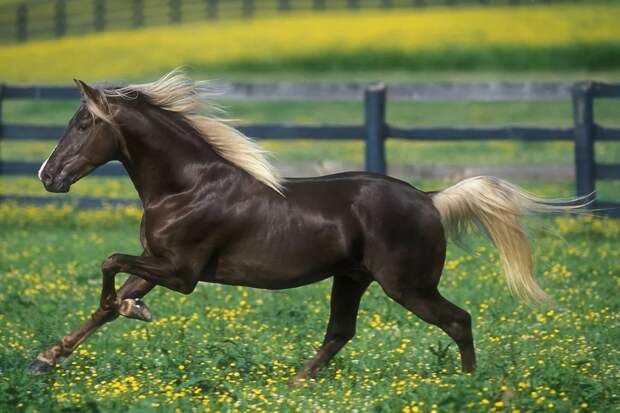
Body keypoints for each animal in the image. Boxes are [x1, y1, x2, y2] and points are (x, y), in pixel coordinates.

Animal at [29, 70, 584, 380]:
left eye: (83, 123)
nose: (47, 176)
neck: (186, 186)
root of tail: (431, 199)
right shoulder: (159, 263)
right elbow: (106, 303)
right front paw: (47, 358)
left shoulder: (182, 273)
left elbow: (108, 265)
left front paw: (131, 310)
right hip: (352, 278)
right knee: (340, 331)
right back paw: (299, 380)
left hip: (408, 285)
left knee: (458, 320)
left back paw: (468, 386)